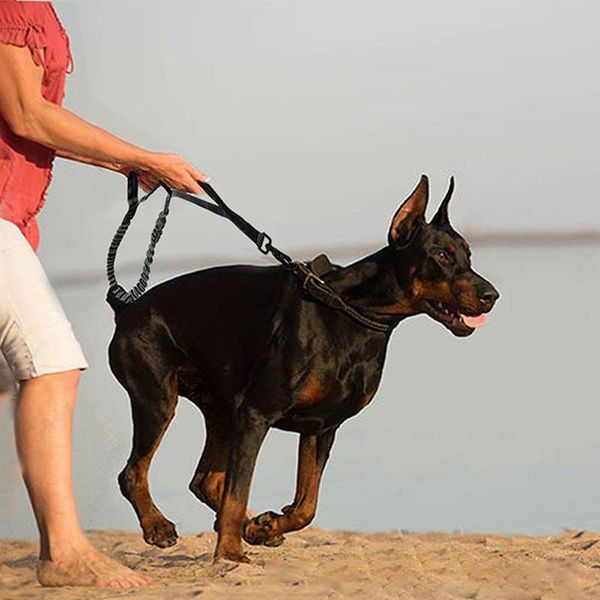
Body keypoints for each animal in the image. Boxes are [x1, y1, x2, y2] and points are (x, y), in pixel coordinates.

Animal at [106, 173, 496, 564]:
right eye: (441, 255)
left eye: (469, 254)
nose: (491, 295)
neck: (351, 313)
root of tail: (125, 308)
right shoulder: (257, 412)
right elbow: (239, 492)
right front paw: (230, 553)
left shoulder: (323, 424)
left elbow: (307, 505)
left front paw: (266, 526)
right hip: (158, 400)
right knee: (133, 472)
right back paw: (159, 527)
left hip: (221, 410)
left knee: (204, 480)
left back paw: (252, 526)